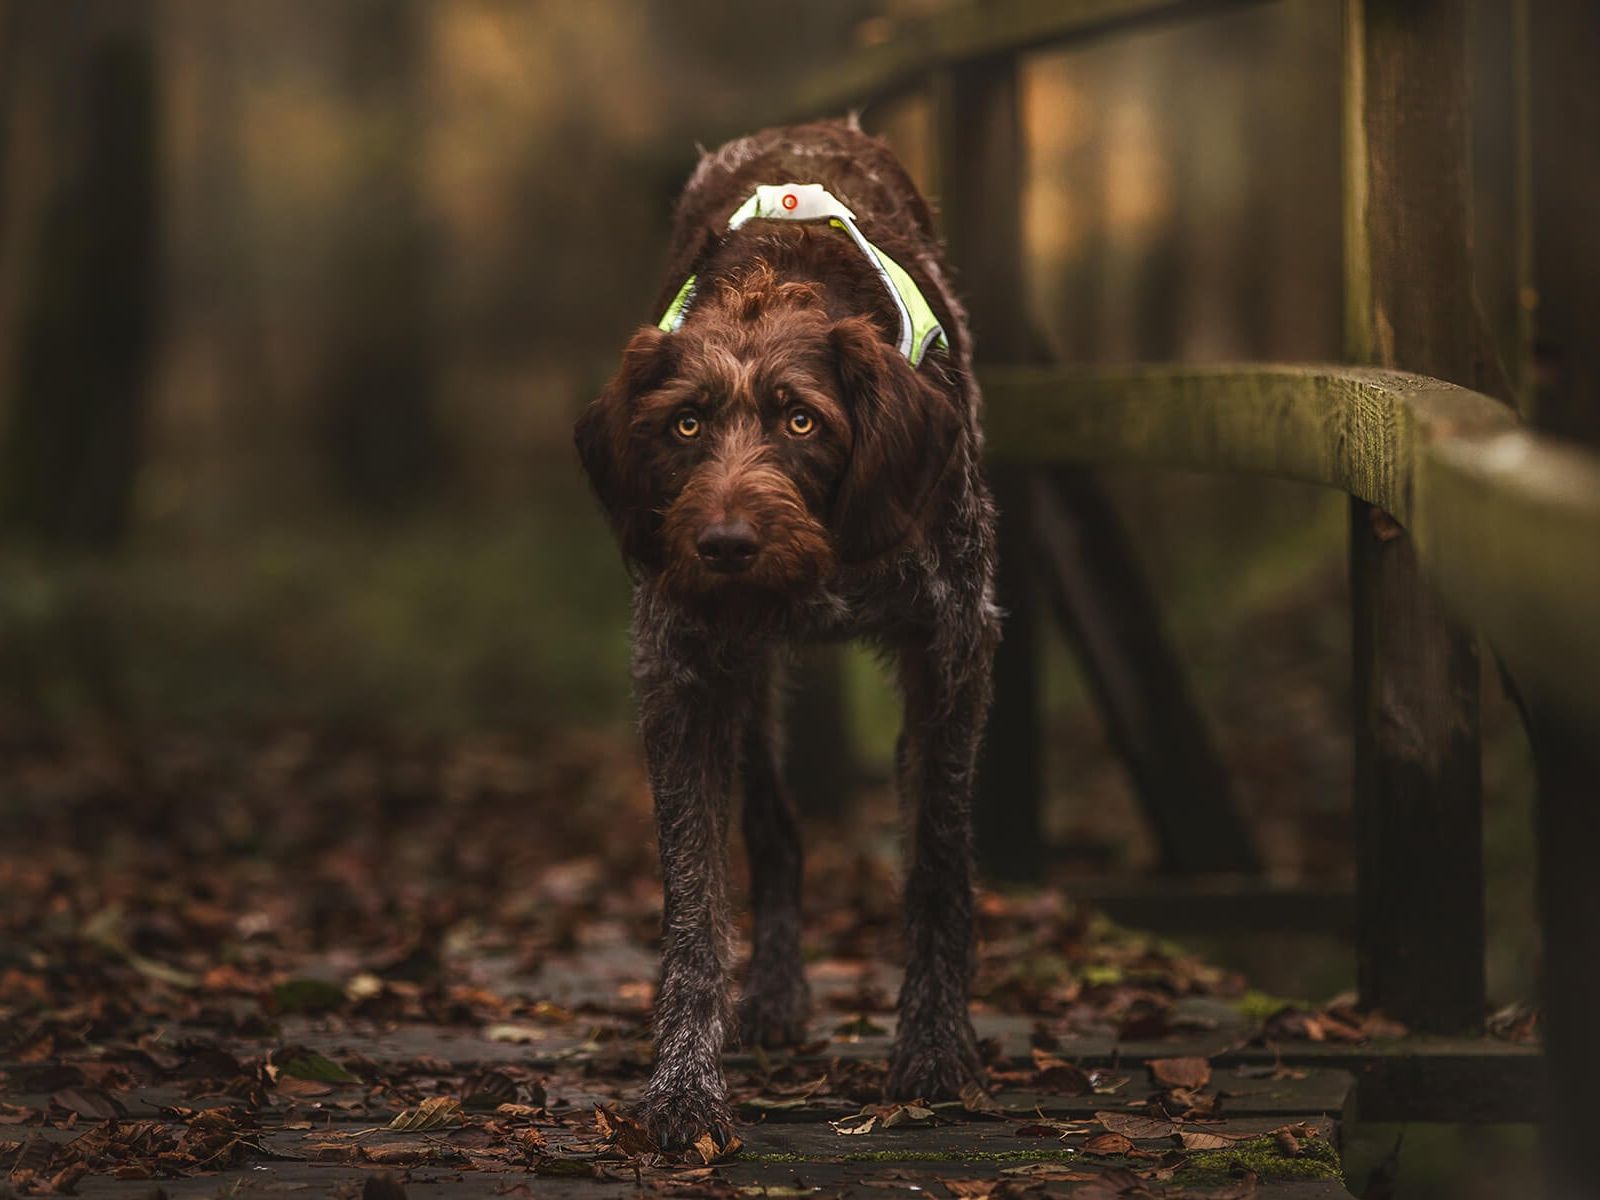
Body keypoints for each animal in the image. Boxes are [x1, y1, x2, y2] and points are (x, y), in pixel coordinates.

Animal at [576, 122, 998, 1158]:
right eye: (686, 425)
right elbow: (694, 901)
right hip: (750, 683)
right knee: (772, 826)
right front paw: (685, 1085)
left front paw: (936, 1047)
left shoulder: (953, 646)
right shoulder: (680, 670)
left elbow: (938, 856)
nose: (725, 545)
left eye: (802, 420)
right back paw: (772, 990)